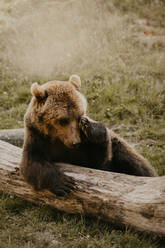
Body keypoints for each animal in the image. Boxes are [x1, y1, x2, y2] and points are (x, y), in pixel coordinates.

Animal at [19, 74, 157, 196]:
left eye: (79, 116)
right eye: (63, 120)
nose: (76, 142)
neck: (59, 140)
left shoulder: (85, 145)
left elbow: (95, 162)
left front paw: (93, 128)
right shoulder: (37, 136)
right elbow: (33, 163)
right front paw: (64, 184)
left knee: (135, 163)